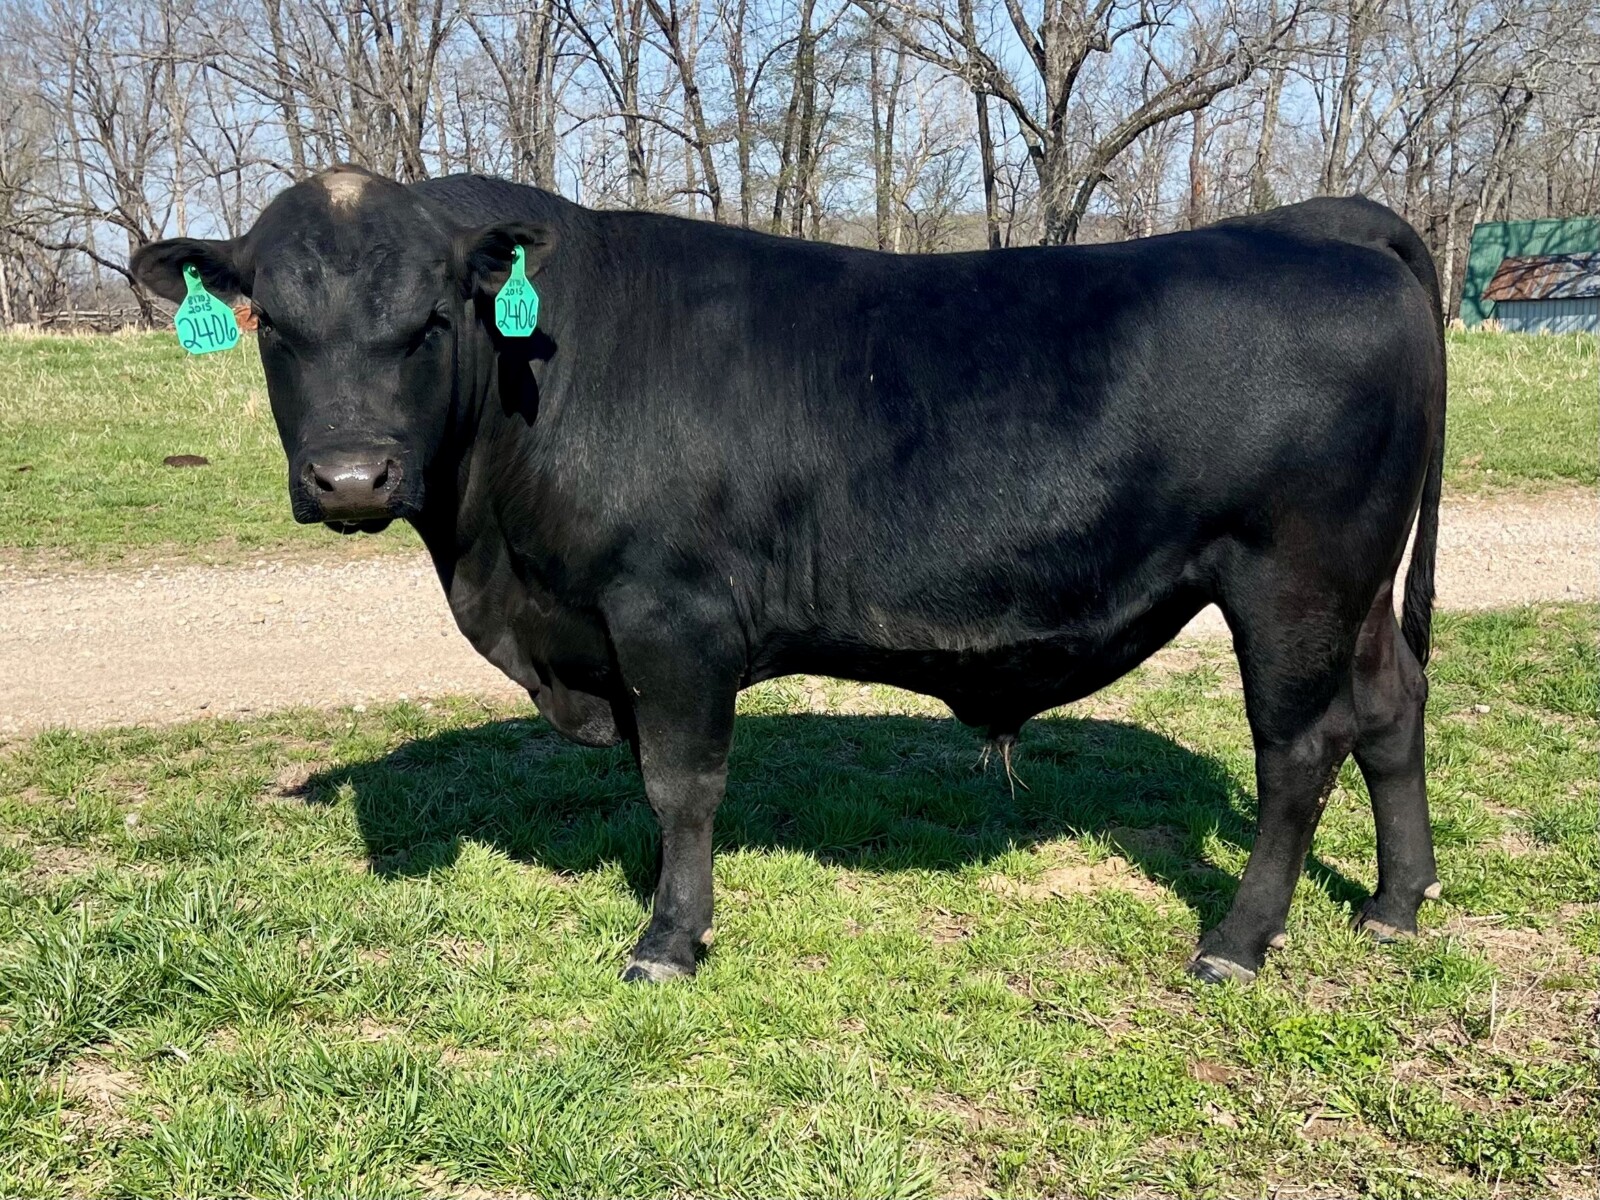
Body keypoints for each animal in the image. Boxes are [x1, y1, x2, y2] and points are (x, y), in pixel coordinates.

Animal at [131, 168, 1446, 987]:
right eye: (272, 324)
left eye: (430, 322)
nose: (352, 477)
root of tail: (1317, 221)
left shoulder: (671, 613)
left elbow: (682, 783)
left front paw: (667, 937)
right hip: (1359, 591)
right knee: (1391, 713)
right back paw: (1394, 905)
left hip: (1293, 579)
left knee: (1298, 754)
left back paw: (1238, 940)